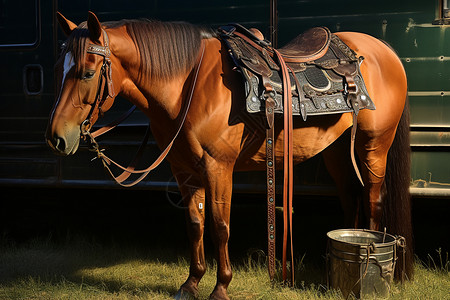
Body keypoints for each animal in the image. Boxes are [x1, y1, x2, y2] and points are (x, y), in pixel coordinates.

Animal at [46, 11, 414, 300]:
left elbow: (220, 226)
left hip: (374, 147)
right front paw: (191, 283)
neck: (187, 85)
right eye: (59, 68)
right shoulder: (184, 170)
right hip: (337, 154)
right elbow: (195, 224)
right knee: (351, 200)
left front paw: (221, 287)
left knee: (373, 200)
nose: (56, 138)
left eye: (87, 72)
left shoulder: (217, 167)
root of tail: (385, 52)